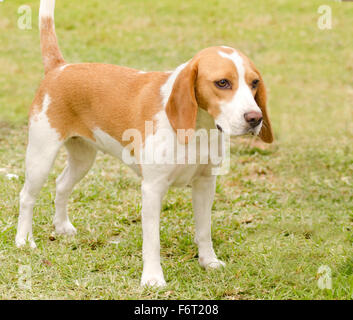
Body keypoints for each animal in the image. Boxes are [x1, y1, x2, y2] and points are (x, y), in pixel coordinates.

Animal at [15, 0, 272, 284]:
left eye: (254, 83)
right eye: (223, 83)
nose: (255, 118)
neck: (197, 129)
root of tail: (60, 67)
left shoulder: (206, 184)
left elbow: (204, 230)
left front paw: (209, 261)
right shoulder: (153, 189)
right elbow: (152, 241)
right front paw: (152, 279)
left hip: (83, 159)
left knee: (61, 185)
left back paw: (61, 226)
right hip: (41, 157)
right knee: (26, 196)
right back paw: (23, 240)